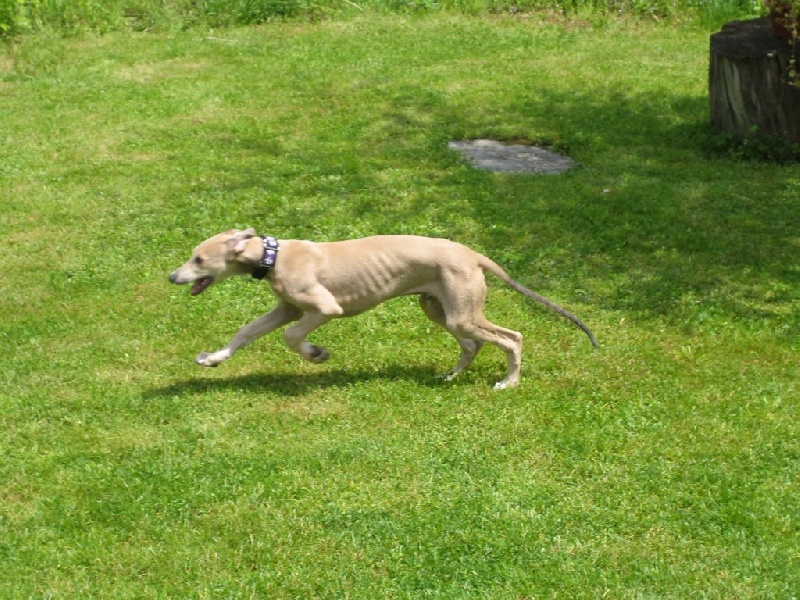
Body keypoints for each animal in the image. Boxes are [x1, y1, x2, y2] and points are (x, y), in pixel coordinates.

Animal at [169, 228, 597, 389]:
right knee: (472, 345)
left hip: (462, 311)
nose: (172, 277)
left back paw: (509, 382)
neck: (273, 255)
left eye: (199, 259)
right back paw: (449, 376)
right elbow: (245, 332)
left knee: (512, 338)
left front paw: (316, 353)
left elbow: (292, 337)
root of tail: (472, 253)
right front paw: (213, 359)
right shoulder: (287, 308)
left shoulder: (324, 307)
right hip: (440, 308)